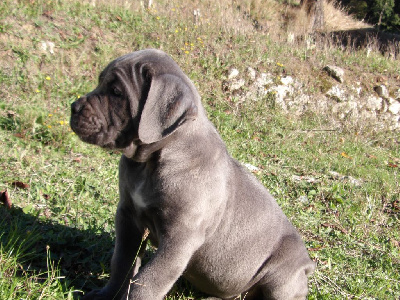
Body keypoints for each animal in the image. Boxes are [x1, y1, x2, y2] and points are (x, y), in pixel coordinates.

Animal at [71, 49, 316, 300]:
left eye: (116, 92)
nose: (74, 107)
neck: (152, 162)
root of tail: (308, 264)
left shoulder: (180, 240)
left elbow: (147, 282)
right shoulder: (128, 217)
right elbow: (121, 262)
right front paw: (104, 295)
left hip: (282, 278)